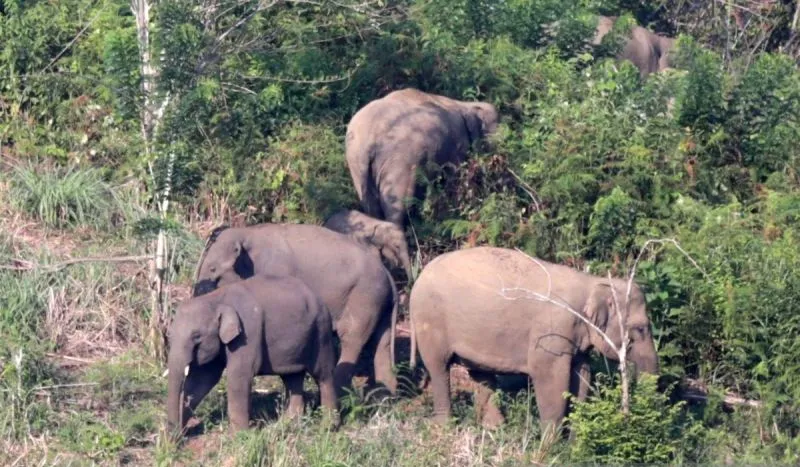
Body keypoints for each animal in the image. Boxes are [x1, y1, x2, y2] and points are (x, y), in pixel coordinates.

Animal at [164, 274, 340, 438]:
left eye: (196, 336)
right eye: (169, 335)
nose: (174, 439)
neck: (216, 299)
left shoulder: (247, 334)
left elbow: (239, 377)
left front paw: (239, 436)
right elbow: (202, 379)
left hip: (321, 332)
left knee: (323, 375)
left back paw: (328, 427)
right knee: (292, 378)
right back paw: (288, 424)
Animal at [191, 223, 404, 398]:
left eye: (212, 269)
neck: (247, 232)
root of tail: (389, 276)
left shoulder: (276, 270)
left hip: (364, 298)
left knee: (352, 339)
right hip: (379, 302)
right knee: (382, 343)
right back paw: (386, 396)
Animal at [346, 88, 496, 228]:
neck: (465, 105)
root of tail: (369, 140)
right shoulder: (457, 145)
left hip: (357, 164)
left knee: (370, 206)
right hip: (400, 162)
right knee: (398, 205)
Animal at [410, 247, 660, 434]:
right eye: (640, 329)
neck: (592, 283)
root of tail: (419, 277)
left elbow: (581, 376)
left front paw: (571, 443)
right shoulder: (551, 332)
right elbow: (551, 380)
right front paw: (549, 448)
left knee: (480, 373)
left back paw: (494, 428)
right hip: (429, 320)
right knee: (438, 368)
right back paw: (444, 427)